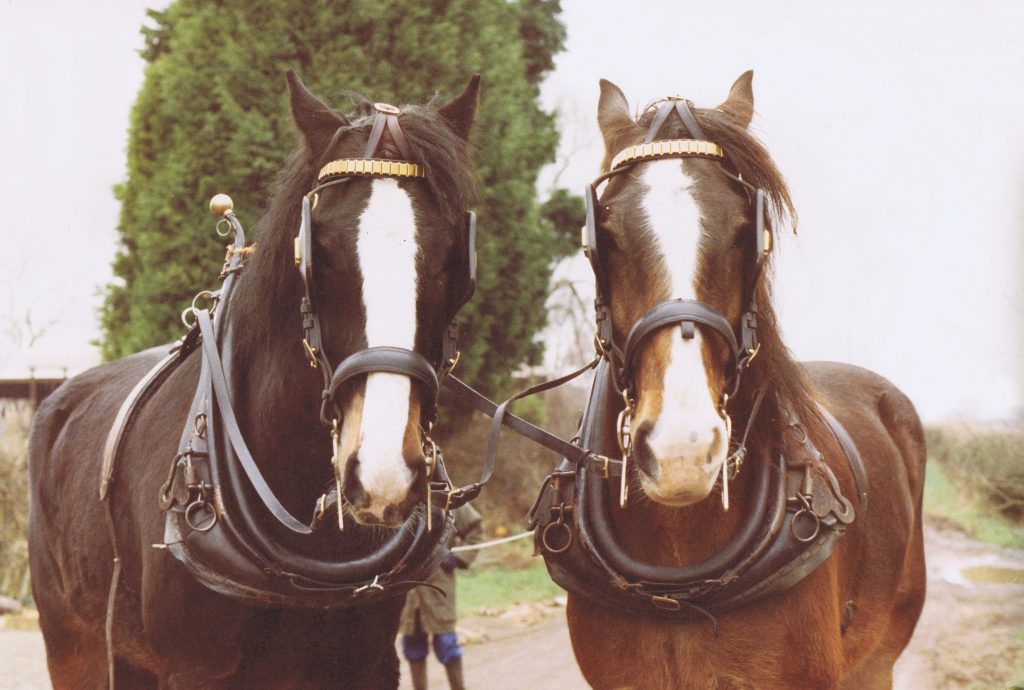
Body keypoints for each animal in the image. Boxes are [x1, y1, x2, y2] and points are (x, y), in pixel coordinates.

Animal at [28, 70, 480, 688]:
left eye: (453, 255)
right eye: (319, 250)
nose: (384, 470)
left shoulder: (369, 663)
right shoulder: (195, 666)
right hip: (76, 644)